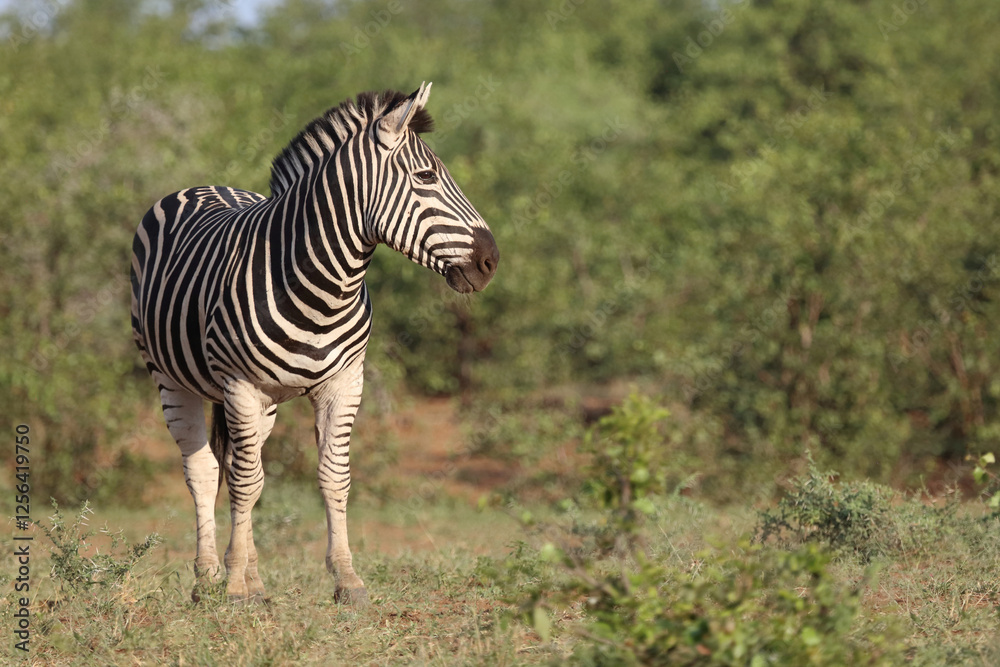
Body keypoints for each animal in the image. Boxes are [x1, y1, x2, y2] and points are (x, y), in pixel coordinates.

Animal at [130, 83, 498, 605]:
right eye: (425, 177)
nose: (491, 260)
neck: (325, 284)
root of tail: (203, 185)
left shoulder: (344, 383)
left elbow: (331, 477)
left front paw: (346, 579)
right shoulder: (240, 385)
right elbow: (242, 483)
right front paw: (233, 587)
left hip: (263, 404)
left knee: (243, 468)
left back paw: (255, 579)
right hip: (171, 378)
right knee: (204, 471)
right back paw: (208, 579)